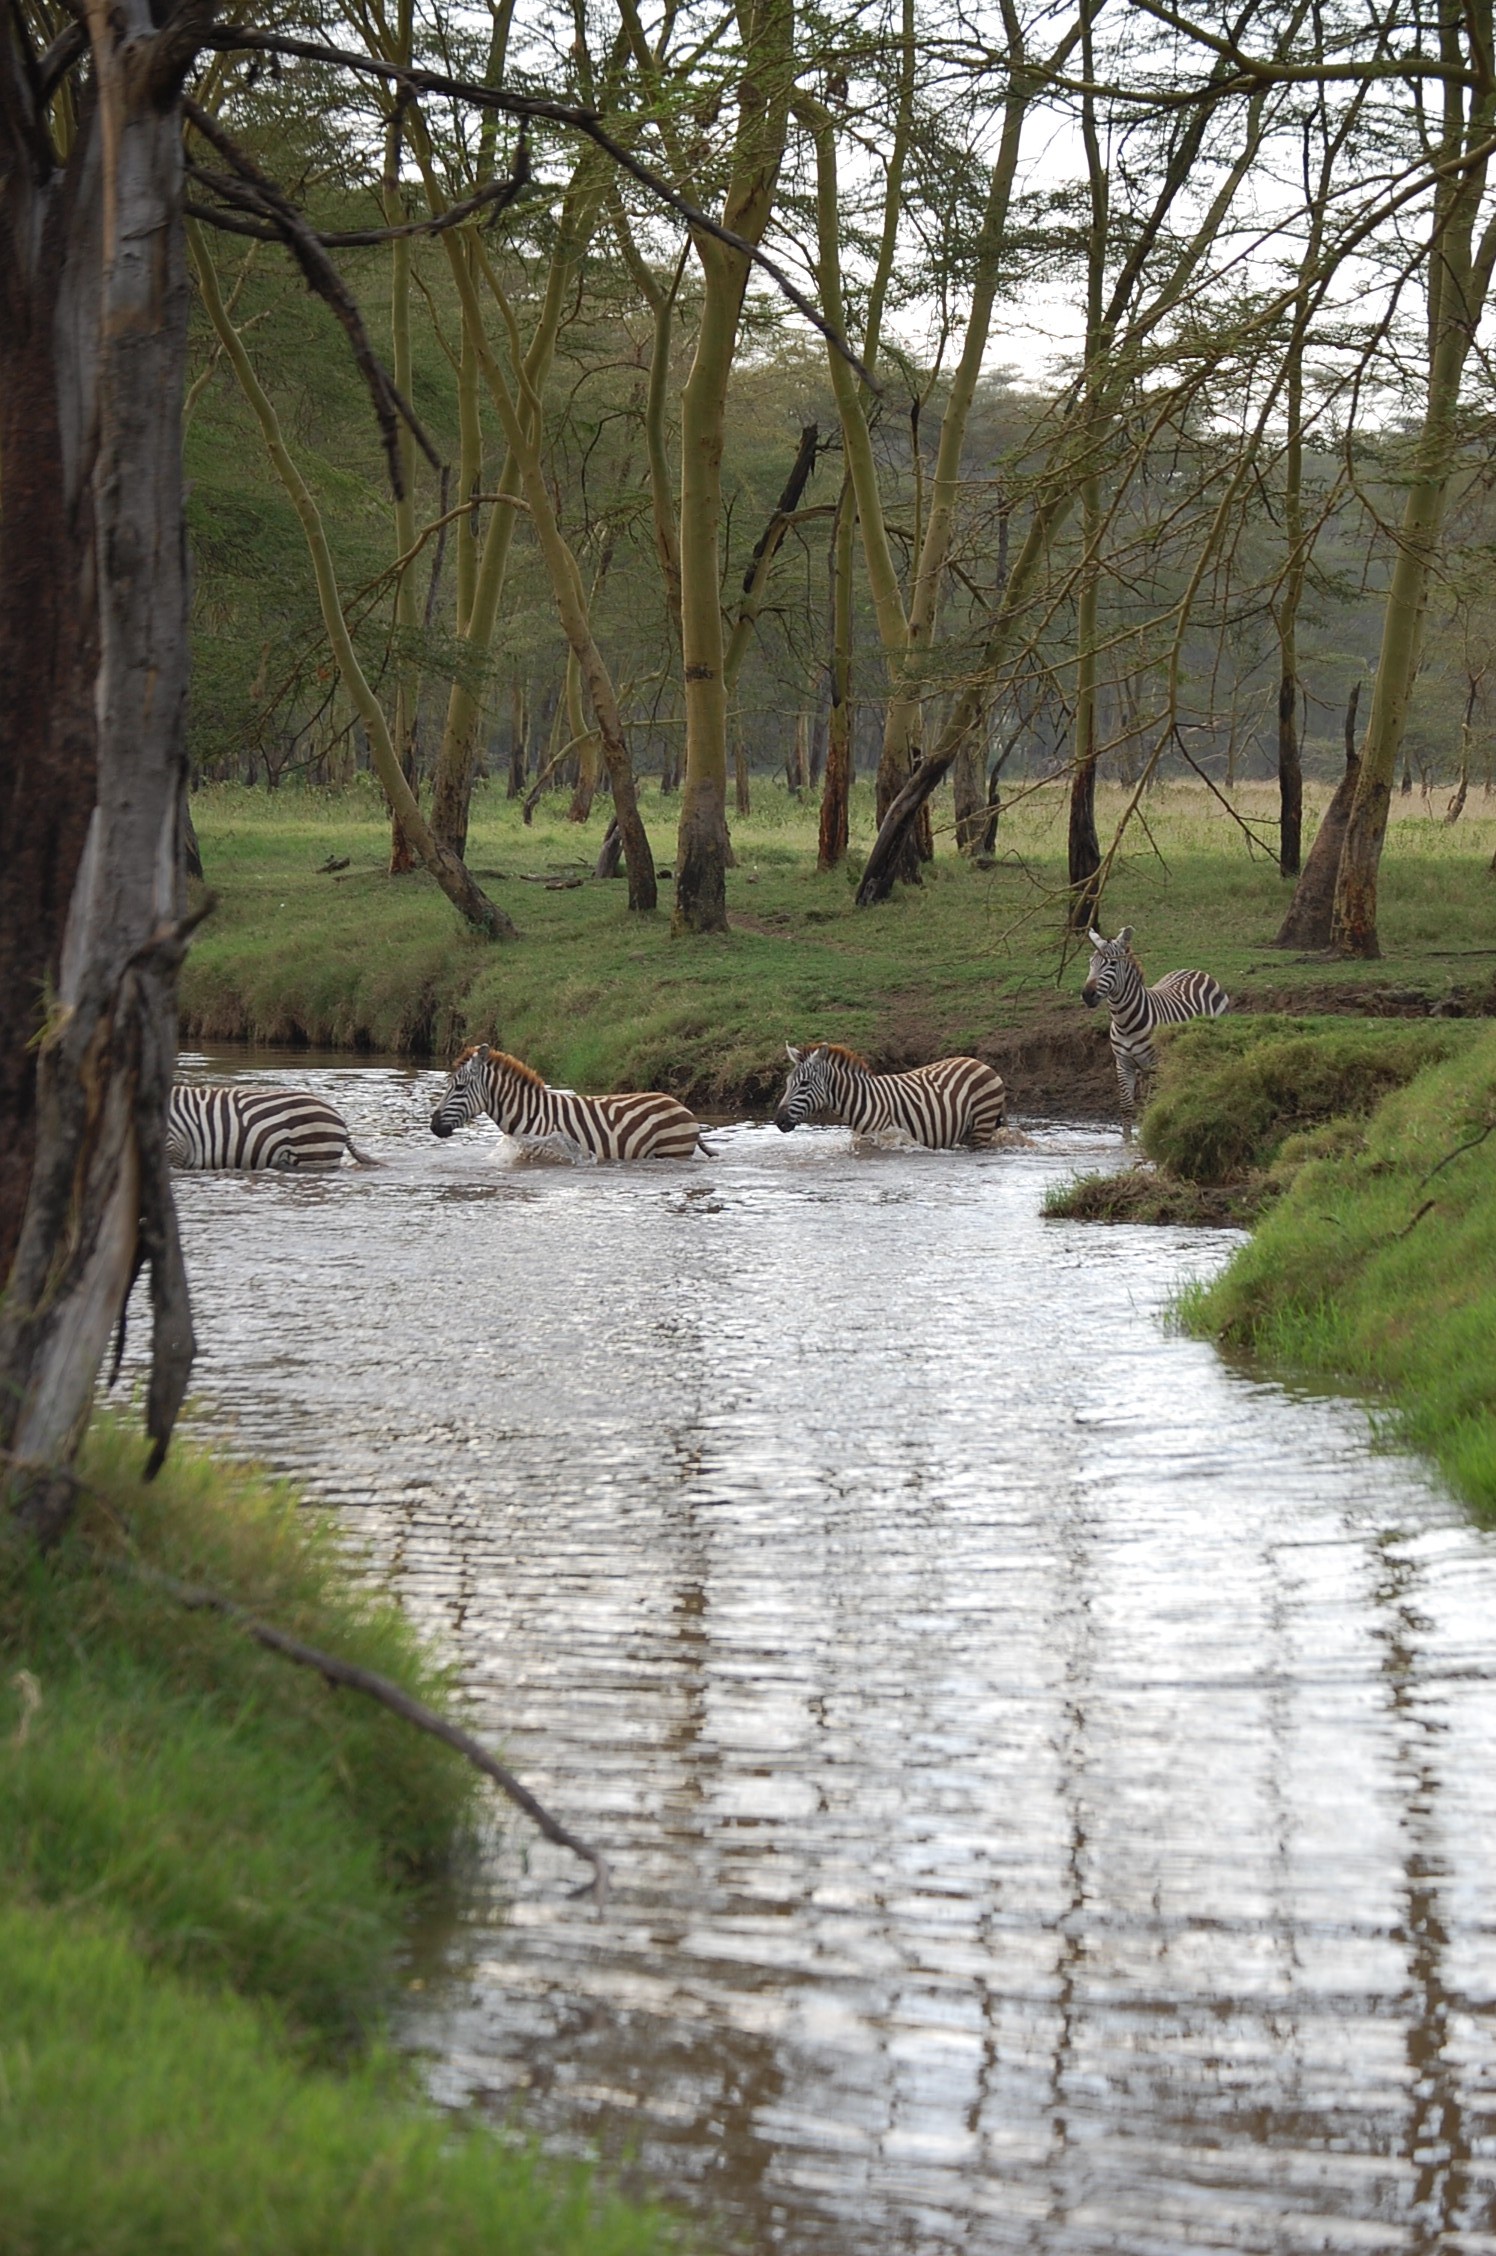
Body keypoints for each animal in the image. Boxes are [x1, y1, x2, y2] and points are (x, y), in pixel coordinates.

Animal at [430, 1046, 708, 1160]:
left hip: (673, 1151)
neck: (530, 1112)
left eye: (459, 1087)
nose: (433, 1126)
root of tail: (680, 1105)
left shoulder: (548, 1151)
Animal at [774, 1044, 1008, 1148]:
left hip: (982, 1123)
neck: (862, 1099)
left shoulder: (884, 1137)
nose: (778, 1121)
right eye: (787, 1082)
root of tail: (979, 1062)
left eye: (804, 1084)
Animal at [1081, 926, 1229, 1138]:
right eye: (1090, 963)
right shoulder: (1123, 1064)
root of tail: (1197, 971)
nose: (1087, 995)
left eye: (1112, 963)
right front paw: (1127, 1142)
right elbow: (1127, 1107)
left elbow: (1150, 1106)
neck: (1124, 1023)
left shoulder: (1154, 1064)